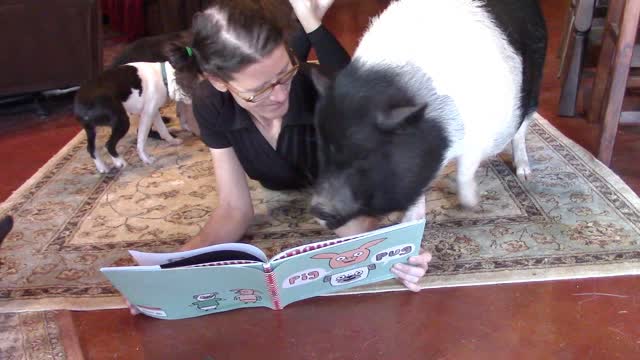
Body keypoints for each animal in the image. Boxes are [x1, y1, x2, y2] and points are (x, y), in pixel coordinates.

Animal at [308, 0, 548, 229]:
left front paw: (471, 204)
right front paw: (409, 222)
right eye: (322, 151)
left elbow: (465, 169)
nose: (317, 210)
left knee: (522, 128)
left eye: (362, 157)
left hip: (534, 81)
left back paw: (524, 174)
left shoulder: (481, 133)